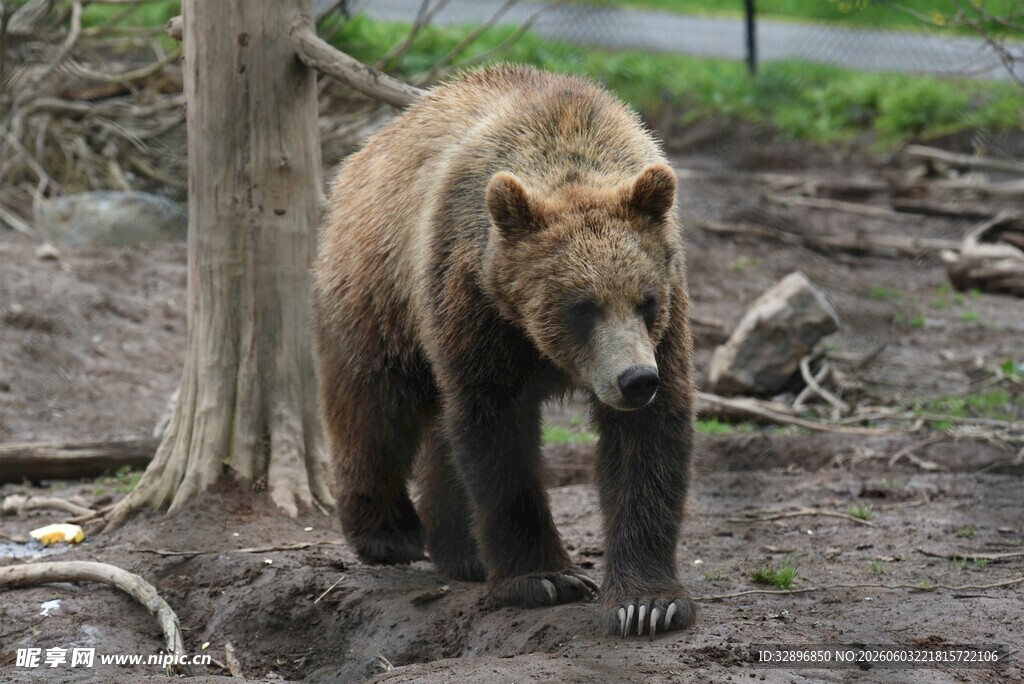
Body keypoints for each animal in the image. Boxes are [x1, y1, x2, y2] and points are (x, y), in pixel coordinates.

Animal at [312, 64, 696, 637]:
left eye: (646, 301)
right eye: (581, 306)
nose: (634, 380)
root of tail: (365, 150)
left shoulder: (665, 327)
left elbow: (646, 442)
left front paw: (647, 603)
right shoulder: (476, 304)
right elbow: (496, 435)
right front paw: (546, 577)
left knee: (436, 429)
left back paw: (460, 549)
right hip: (379, 290)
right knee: (375, 404)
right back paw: (388, 532)